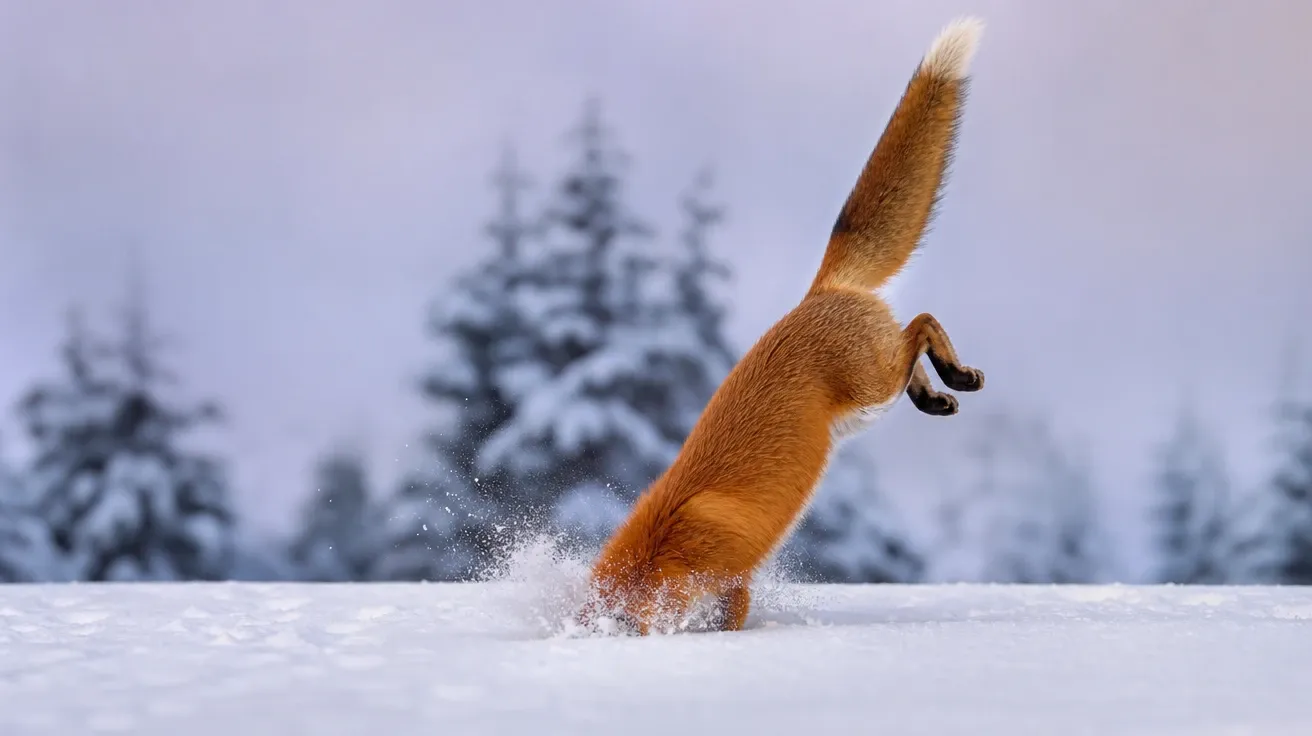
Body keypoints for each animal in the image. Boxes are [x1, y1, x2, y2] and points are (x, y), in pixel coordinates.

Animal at [577, 17, 987, 636]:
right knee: (912, 353)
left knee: (920, 324)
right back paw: (936, 396)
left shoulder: (734, 580)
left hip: (872, 385)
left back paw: (957, 373)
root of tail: (818, 293)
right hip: (872, 404)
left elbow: (730, 621)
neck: (664, 543)